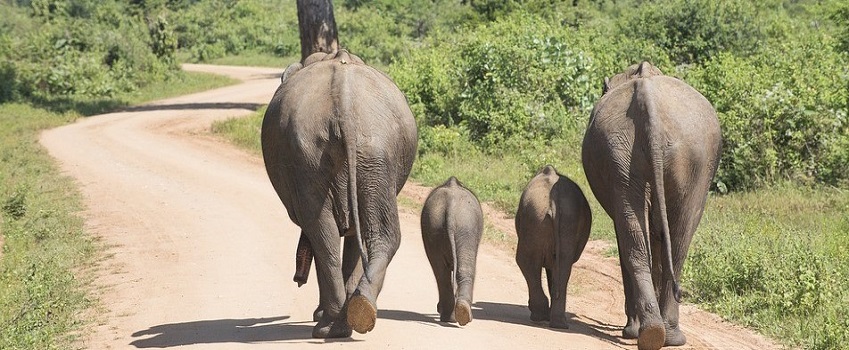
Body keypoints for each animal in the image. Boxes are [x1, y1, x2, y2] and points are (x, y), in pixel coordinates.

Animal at [260, 48, 416, 336]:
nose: (298, 279)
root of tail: (344, 107)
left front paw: (320, 315)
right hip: (368, 153)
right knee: (372, 234)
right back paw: (355, 314)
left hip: (317, 156)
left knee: (323, 231)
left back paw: (330, 325)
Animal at [420, 176, 480, 326]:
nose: (437, 308)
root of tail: (451, 208)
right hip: (462, 226)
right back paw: (457, 316)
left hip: (442, 226)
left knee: (442, 272)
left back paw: (457, 314)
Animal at [516, 165, 588, 330]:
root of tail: (553, 204)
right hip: (559, 220)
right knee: (563, 266)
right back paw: (558, 323)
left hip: (535, 219)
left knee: (524, 261)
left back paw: (540, 317)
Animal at [584, 61, 724, 348]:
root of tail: (648, 104)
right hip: (643, 155)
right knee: (675, 240)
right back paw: (660, 333)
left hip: (651, 153)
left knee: (650, 239)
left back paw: (651, 333)